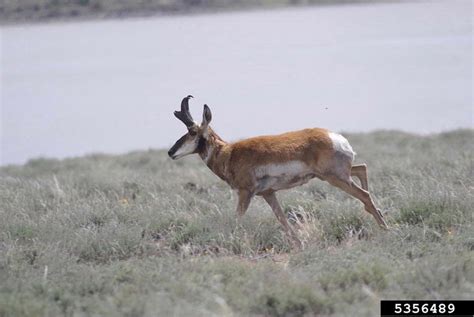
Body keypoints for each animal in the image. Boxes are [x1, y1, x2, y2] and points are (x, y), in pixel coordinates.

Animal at [168, 94, 386, 247]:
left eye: (192, 132)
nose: (170, 152)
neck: (229, 153)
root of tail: (336, 138)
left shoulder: (245, 193)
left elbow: (237, 218)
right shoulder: (268, 193)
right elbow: (282, 219)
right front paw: (299, 245)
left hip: (334, 178)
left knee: (364, 193)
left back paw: (385, 227)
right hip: (337, 175)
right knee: (362, 169)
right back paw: (378, 213)